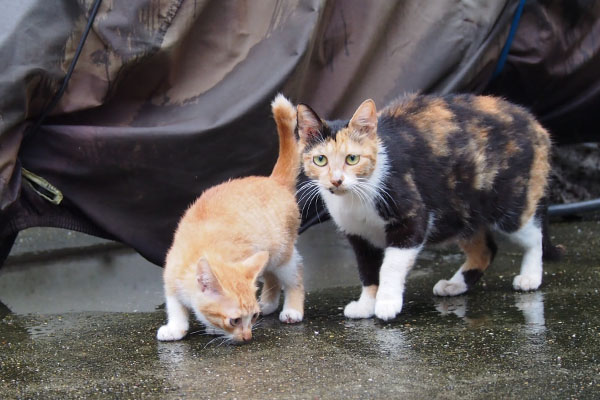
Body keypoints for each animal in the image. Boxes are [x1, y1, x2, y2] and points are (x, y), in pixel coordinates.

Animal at [157, 93, 302, 340]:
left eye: (253, 317)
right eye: (234, 320)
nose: (248, 337)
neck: (201, 251)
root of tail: (273, 180)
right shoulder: (171, 276)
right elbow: (175, 305)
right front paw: (176, 326)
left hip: (283, 253)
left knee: (294, 277)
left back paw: (293, 309)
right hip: (267, 254)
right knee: (271, 276)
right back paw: (270, 303)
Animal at [298, 94, 564, 322]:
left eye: (352, 159)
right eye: (320, 160)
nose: (336, 180)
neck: (356, 198)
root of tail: (536, 124)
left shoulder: (412, 218)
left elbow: (391, 266)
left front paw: (387, 303)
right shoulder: (358, 235)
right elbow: (367, 271)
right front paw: (366, 305)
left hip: (509, 204)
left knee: (533, 235)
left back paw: (530, 277)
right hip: (461, 212)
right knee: (486, 249)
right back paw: (455, 285)